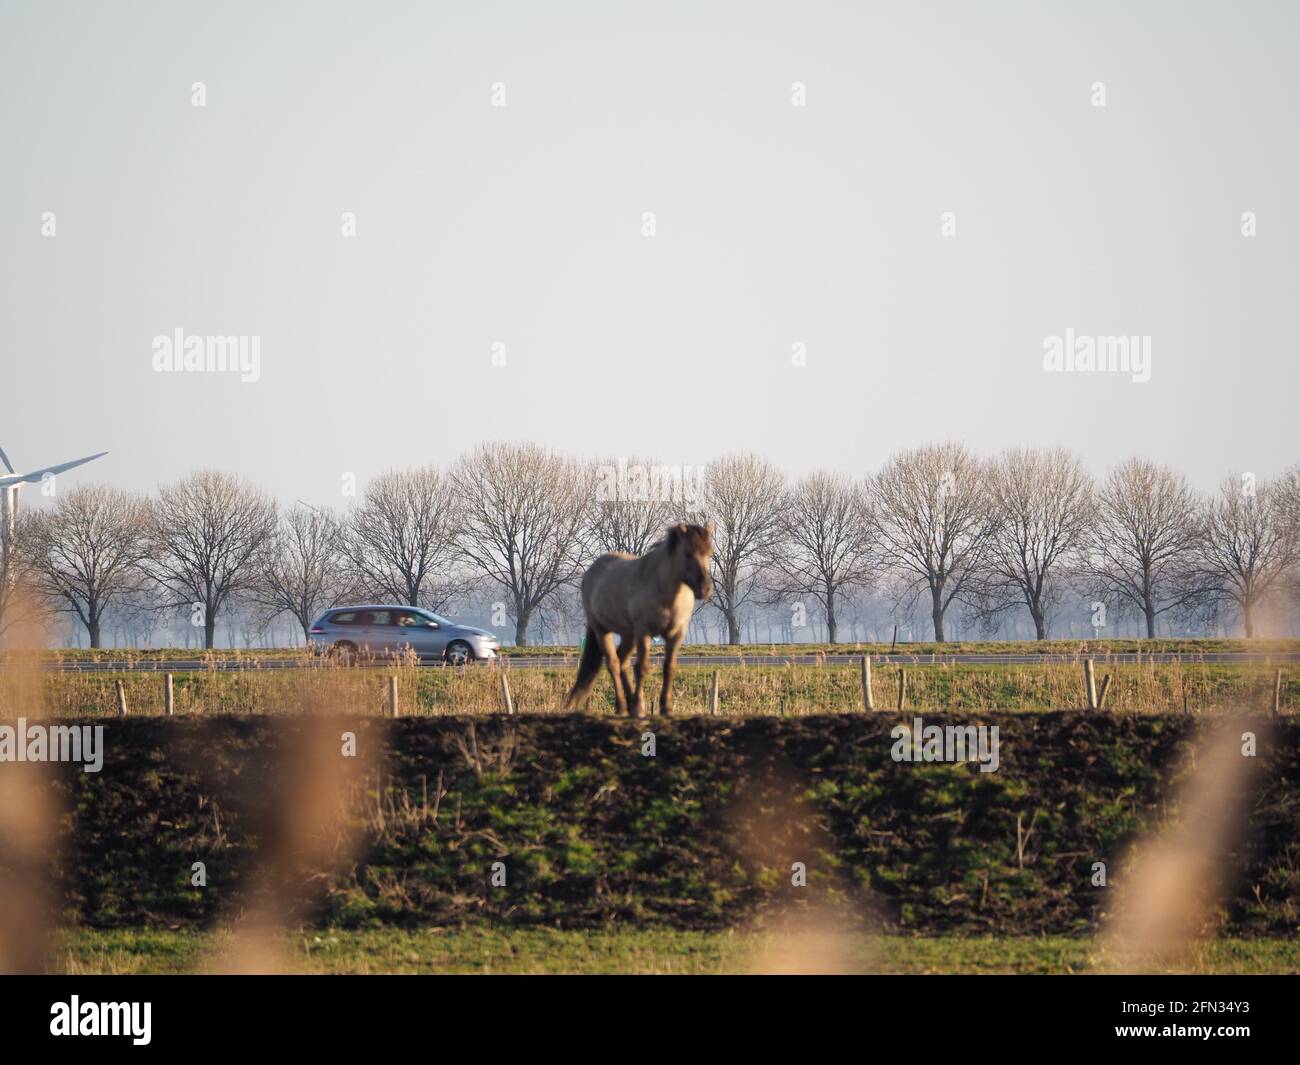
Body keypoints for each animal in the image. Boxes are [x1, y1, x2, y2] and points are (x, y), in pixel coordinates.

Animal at [565, 522, 714, 717]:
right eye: (687, 553)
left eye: (709, 553)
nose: (705, 589)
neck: (665, 592)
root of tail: (591, 572)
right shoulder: (644, 632)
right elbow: (642, 668)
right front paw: (639, 707)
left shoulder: (676, 634)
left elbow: (669, 667)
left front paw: (666, 708)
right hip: (602, 630)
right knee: (613, 663)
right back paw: (623, 706)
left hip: (628, 634)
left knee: (622, 661)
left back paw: (629, 703)